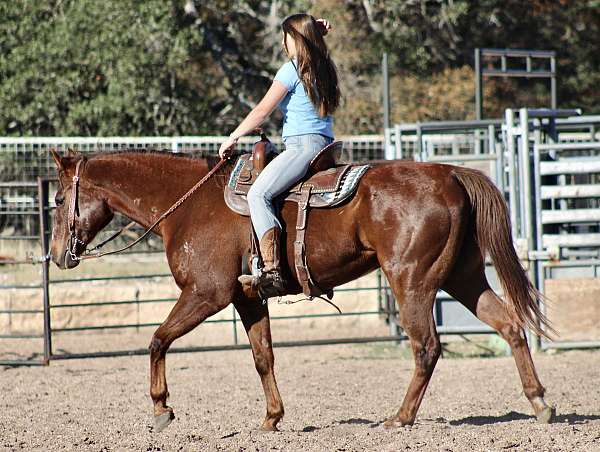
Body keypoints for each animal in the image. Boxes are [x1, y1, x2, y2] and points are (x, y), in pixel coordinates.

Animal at [49, 148, 556, 430]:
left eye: (56, 199)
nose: (57, 255)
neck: (187, 205)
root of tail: (450, 174)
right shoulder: (247, 299)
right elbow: (263, 358)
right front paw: (272, 418)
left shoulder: (205, 294)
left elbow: (156, 340)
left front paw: (161, 410)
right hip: (463, 278)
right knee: (510, 325)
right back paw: (540, 404)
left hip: (412, 281)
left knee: (427, 347)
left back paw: (400, 417)